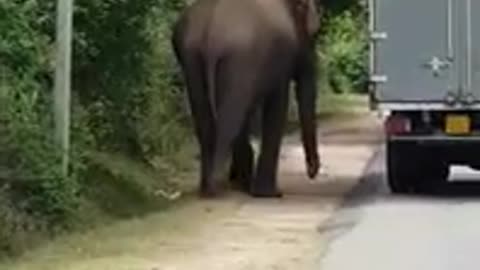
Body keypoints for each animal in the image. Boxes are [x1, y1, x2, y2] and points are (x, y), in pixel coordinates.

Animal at [172, 0, 322, 197]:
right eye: (314, 34)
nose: (312, 171)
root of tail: (210, 35)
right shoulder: (280, 57)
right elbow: (277, 106)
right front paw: (271, 194)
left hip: (192, 61)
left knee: (206, 121)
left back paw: (211, 187)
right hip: (238, 58)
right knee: (230, 120)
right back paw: (216, 186)